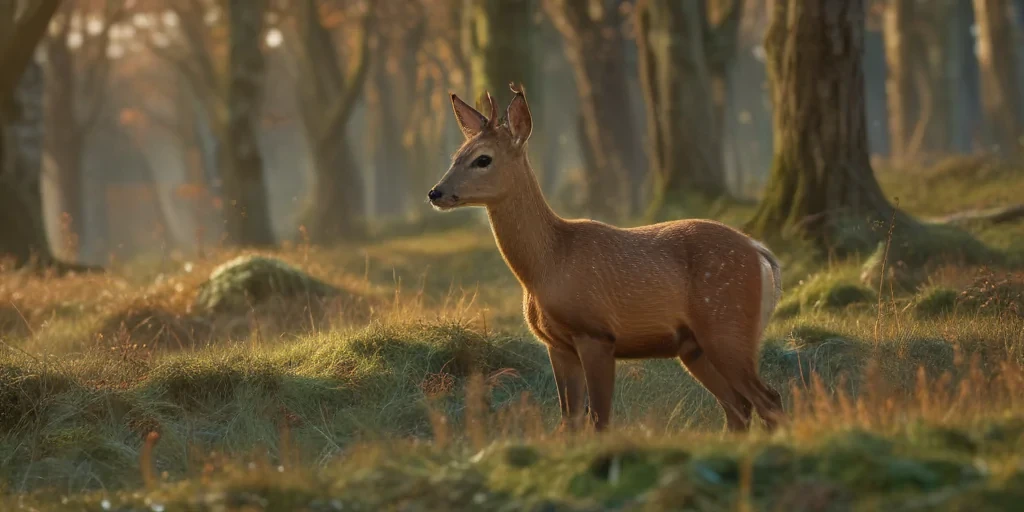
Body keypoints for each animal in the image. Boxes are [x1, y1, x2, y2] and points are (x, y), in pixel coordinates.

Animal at [427, 83, 785, 433]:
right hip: (694, 346)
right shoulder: (557, 345)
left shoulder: (596, 333)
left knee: (768, 399)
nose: (435, 192)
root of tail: (760, 252)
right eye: (456, 156)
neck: (548, 264)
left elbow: (600, 419)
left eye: (483, 159)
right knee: (739, 407)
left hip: (727, 325)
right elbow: (569, 421)